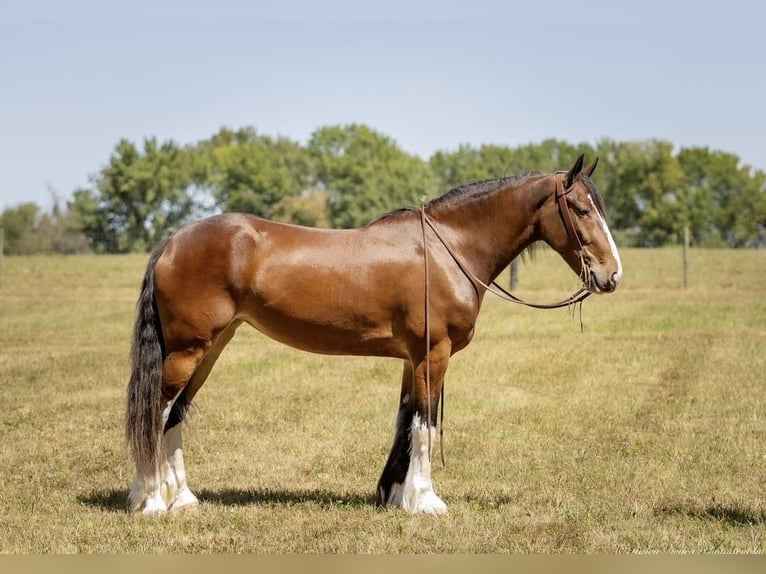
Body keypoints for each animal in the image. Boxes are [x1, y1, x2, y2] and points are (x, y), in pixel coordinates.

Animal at [123, 154, 620, 516]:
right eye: (580, 209)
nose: (611, 275)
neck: (448, 249)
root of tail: (172, 242)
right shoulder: (433, 355)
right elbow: (425, 426)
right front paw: (427, 502)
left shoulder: (411, 360)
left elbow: (404, 422)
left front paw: (396, 495)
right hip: (188, 350)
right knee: (156, 413)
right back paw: (150, 501)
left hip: (210, 348)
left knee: (174, 416)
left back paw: (182, 499)